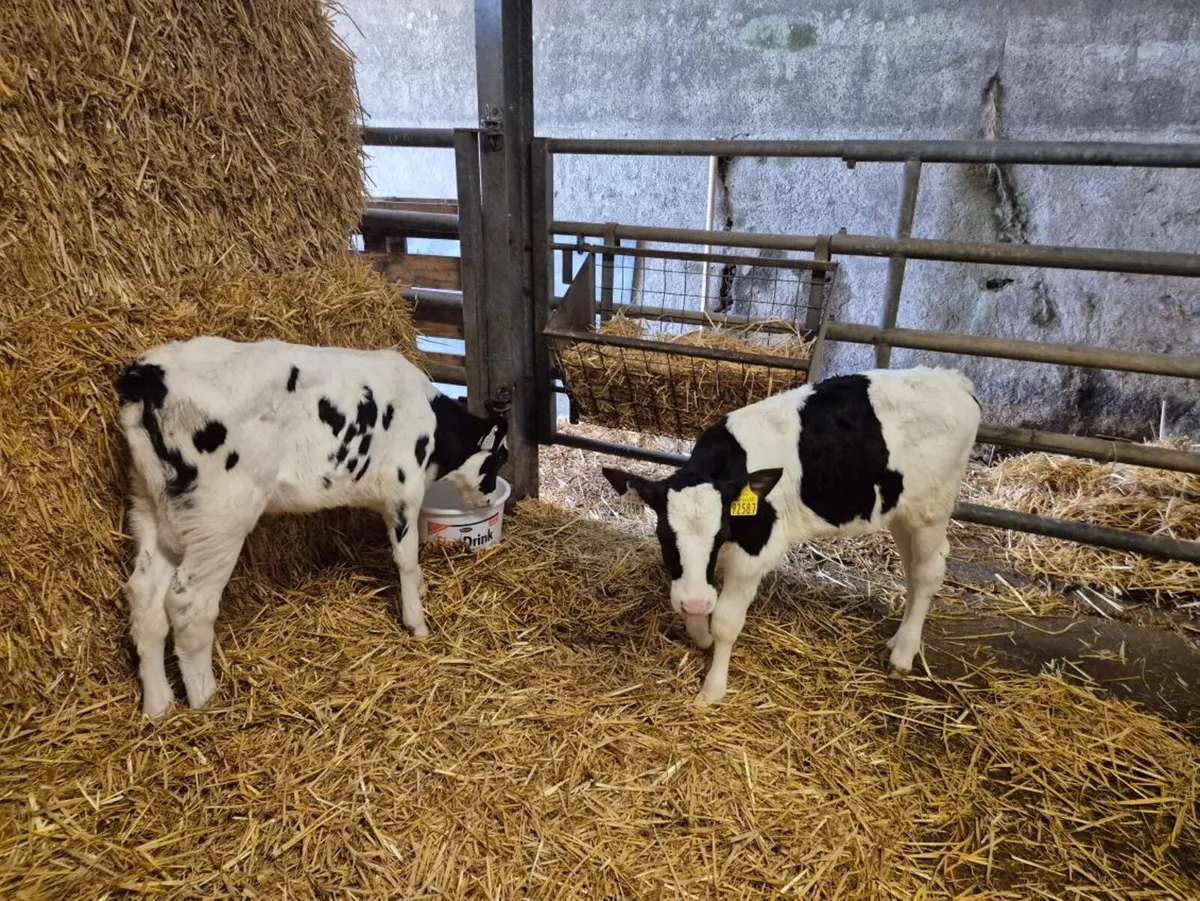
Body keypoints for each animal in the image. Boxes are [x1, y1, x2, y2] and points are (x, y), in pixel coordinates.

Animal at [115, 336, 508, 718]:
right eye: (499, 459)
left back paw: (158, 706)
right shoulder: (404, 490)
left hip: (151, 508)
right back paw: (206, 702)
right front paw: (417, 623)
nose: (490, 499)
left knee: (145, 598)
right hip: (219, 519)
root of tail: (147, 374)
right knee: (189, 604)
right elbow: (407, 559)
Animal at [601, 367, 980, 705]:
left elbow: (725, 622)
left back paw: (903, 653)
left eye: (721, 532)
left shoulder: (753, 554)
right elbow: (698, 608)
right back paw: (899, 639)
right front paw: (701, 635)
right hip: (901, 512)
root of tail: (952, 379)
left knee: (928, 573)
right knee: (912, 571)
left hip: (931, 509)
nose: (694, 601)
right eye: (663, 535)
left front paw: (712, 689)